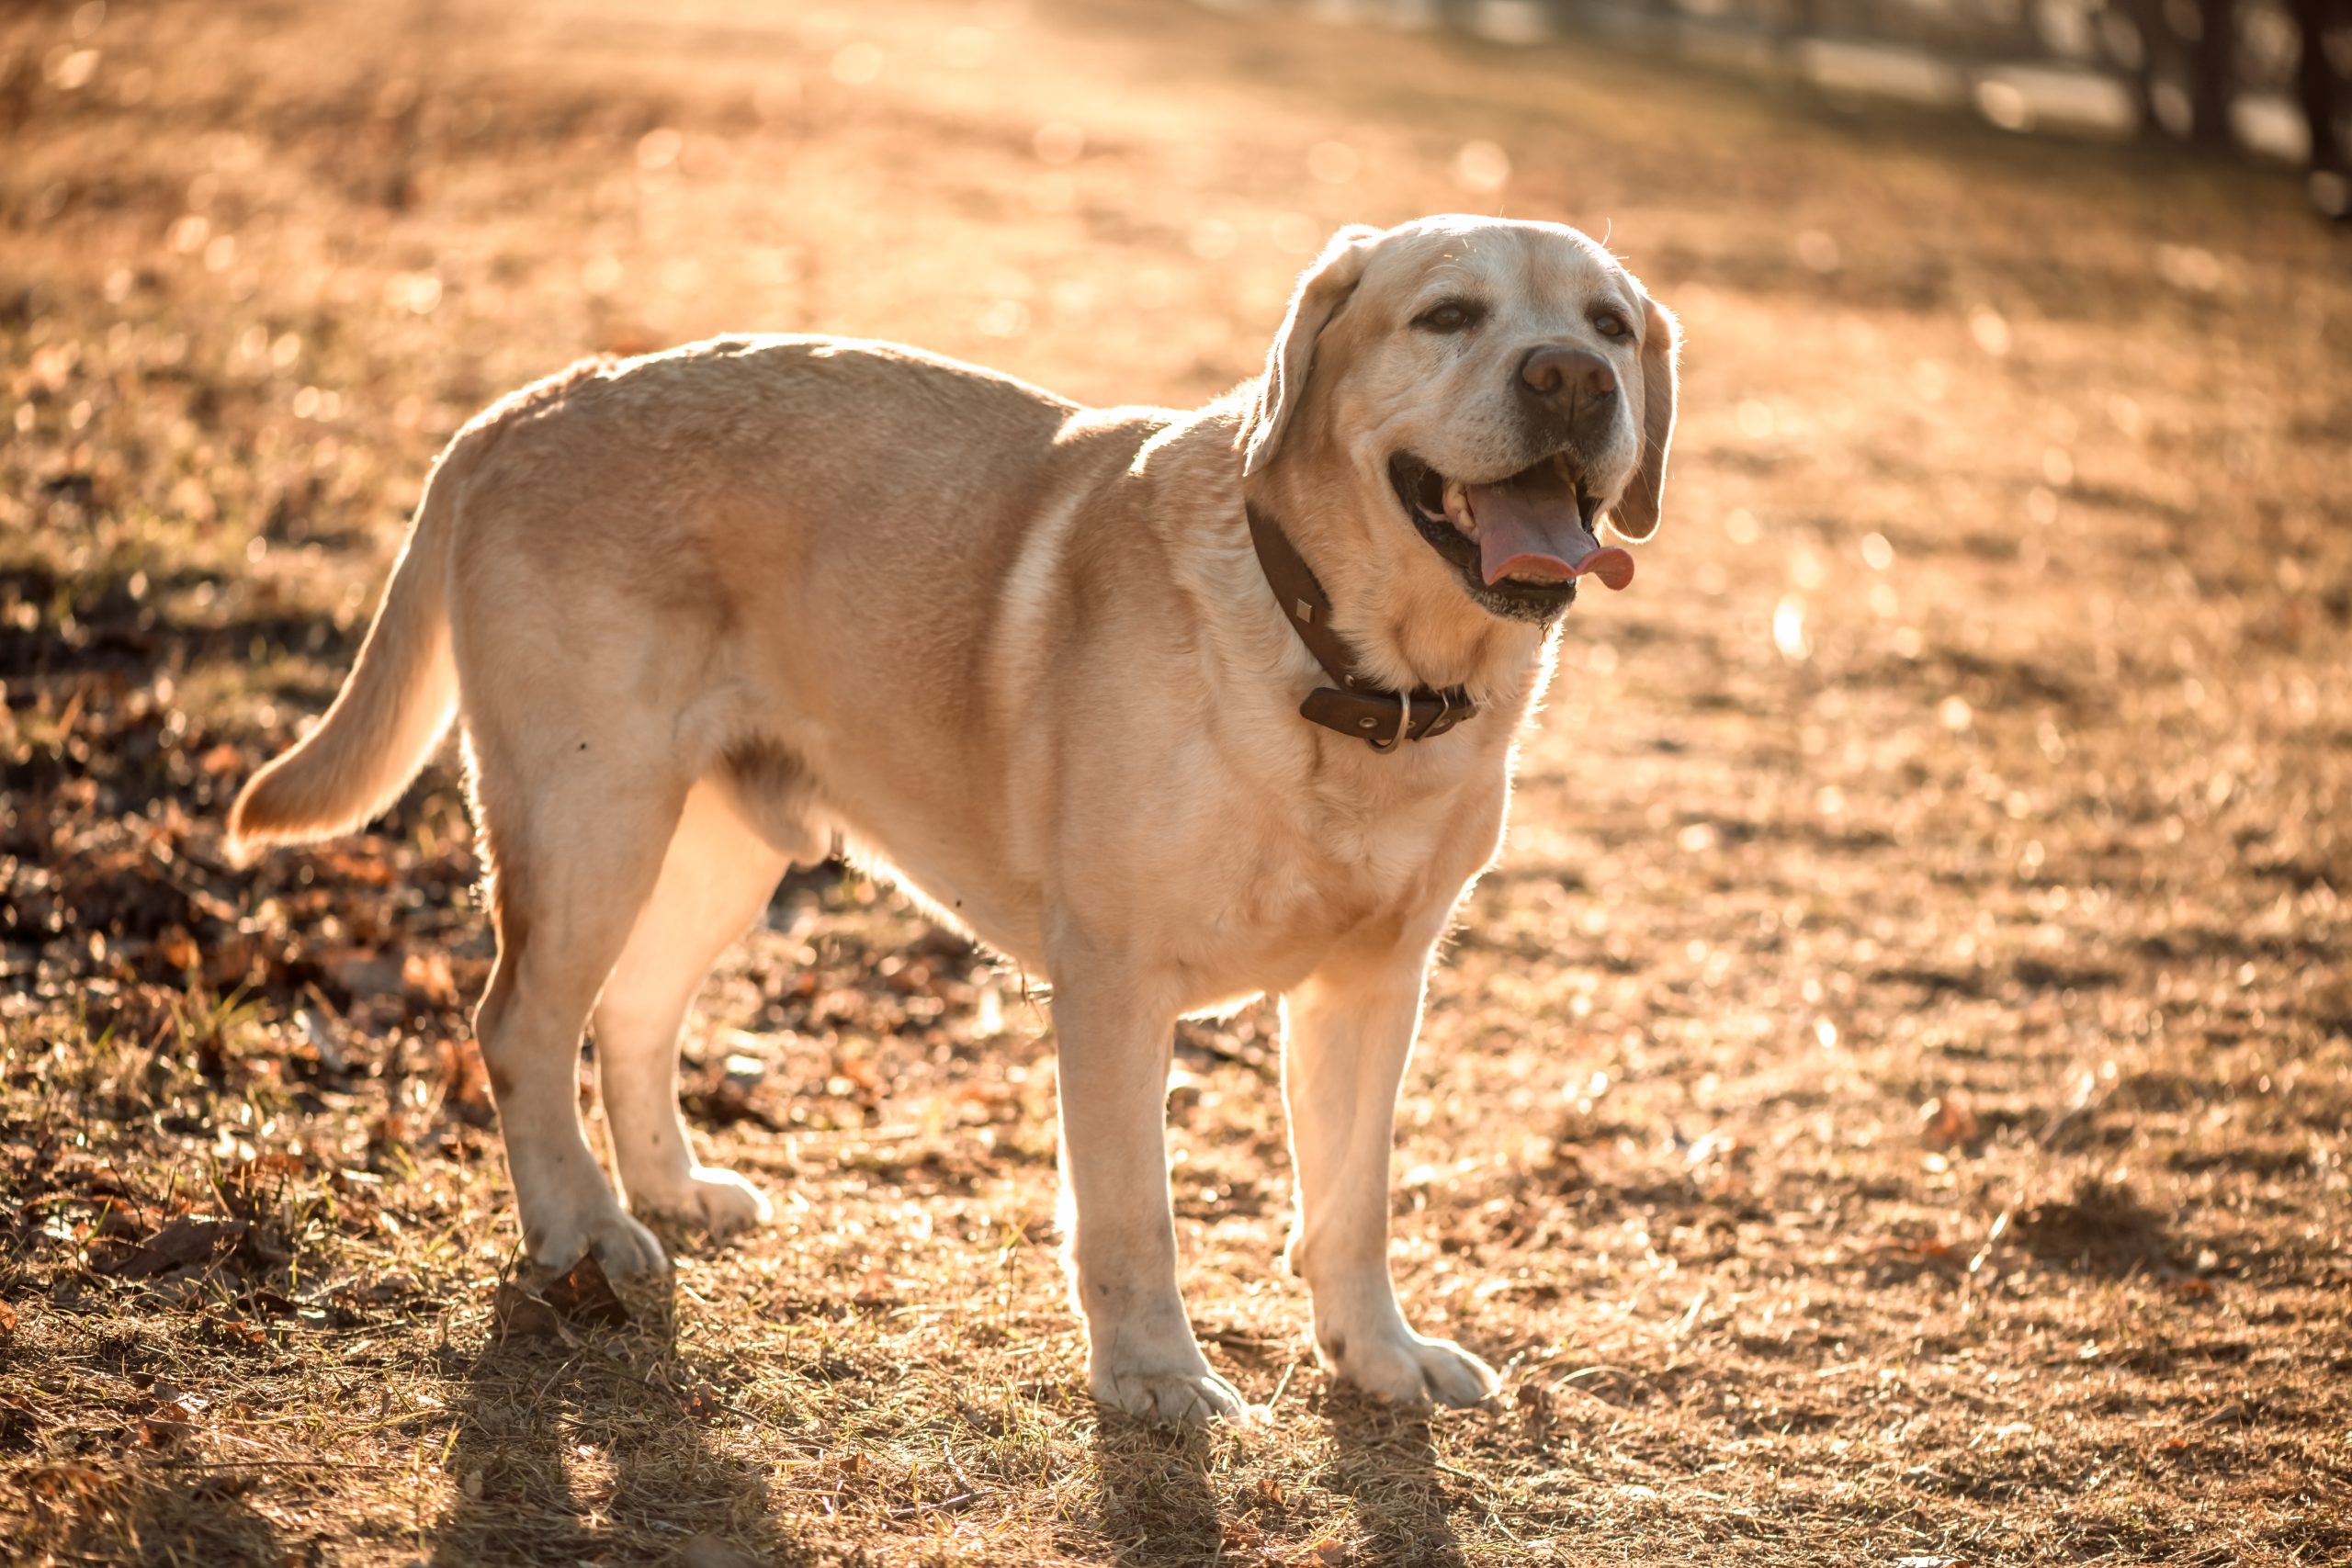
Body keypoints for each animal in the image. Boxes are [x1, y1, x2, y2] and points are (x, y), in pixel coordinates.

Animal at [233, 215, 1674, 1429]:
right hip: (590, 817)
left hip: (713, 849)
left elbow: (1353, 1205)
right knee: (519, 1024)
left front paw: (1377, 1358)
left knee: (630, 1013)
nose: (1570, 381)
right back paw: (582, 1230)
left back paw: (667, 1189)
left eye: (1607, 324)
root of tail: (525, 403)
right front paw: (1155, 1376)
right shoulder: (1113, 983)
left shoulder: (1372, 989)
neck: (1347, 672)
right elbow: (1131, 1214)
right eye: (1447, 315)